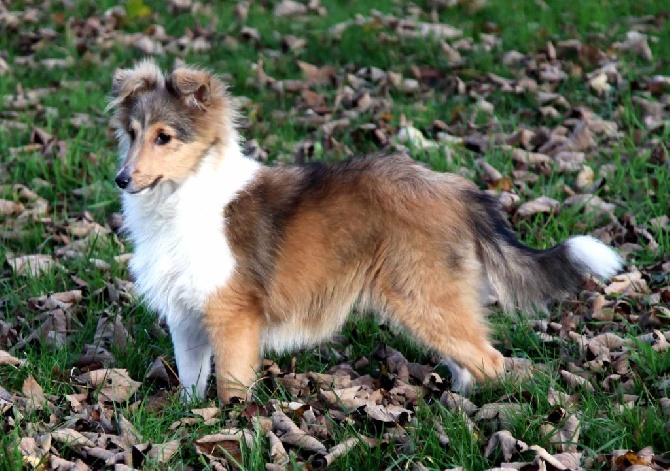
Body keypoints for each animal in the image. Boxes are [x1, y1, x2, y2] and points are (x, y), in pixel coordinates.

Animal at [109, 59, 624, 404]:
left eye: (164, 137)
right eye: (132, 133)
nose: (121, 179)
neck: (184, 196)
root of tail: (455, 189)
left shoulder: (232, 317)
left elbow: (232, 387)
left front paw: (232, 425)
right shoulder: (188, 316)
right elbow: (191, 382)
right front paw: (190, 419)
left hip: (422, 298)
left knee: (492, 363)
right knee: (470, 362)